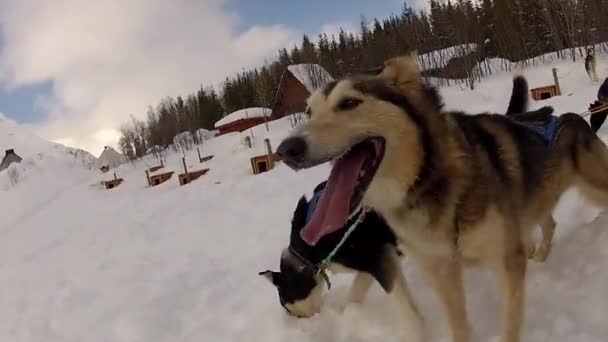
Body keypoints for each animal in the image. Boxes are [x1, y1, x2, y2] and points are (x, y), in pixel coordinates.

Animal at [276, 51, 608, 342]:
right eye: (308, 112)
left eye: (349, 103)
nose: (286, 149)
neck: (426, 179)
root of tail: (569, 117)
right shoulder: (440, 272)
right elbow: (456, 324)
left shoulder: (505, 262)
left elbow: (509, 324)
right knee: (548, 223)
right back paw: (540, 255)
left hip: (593, 187)